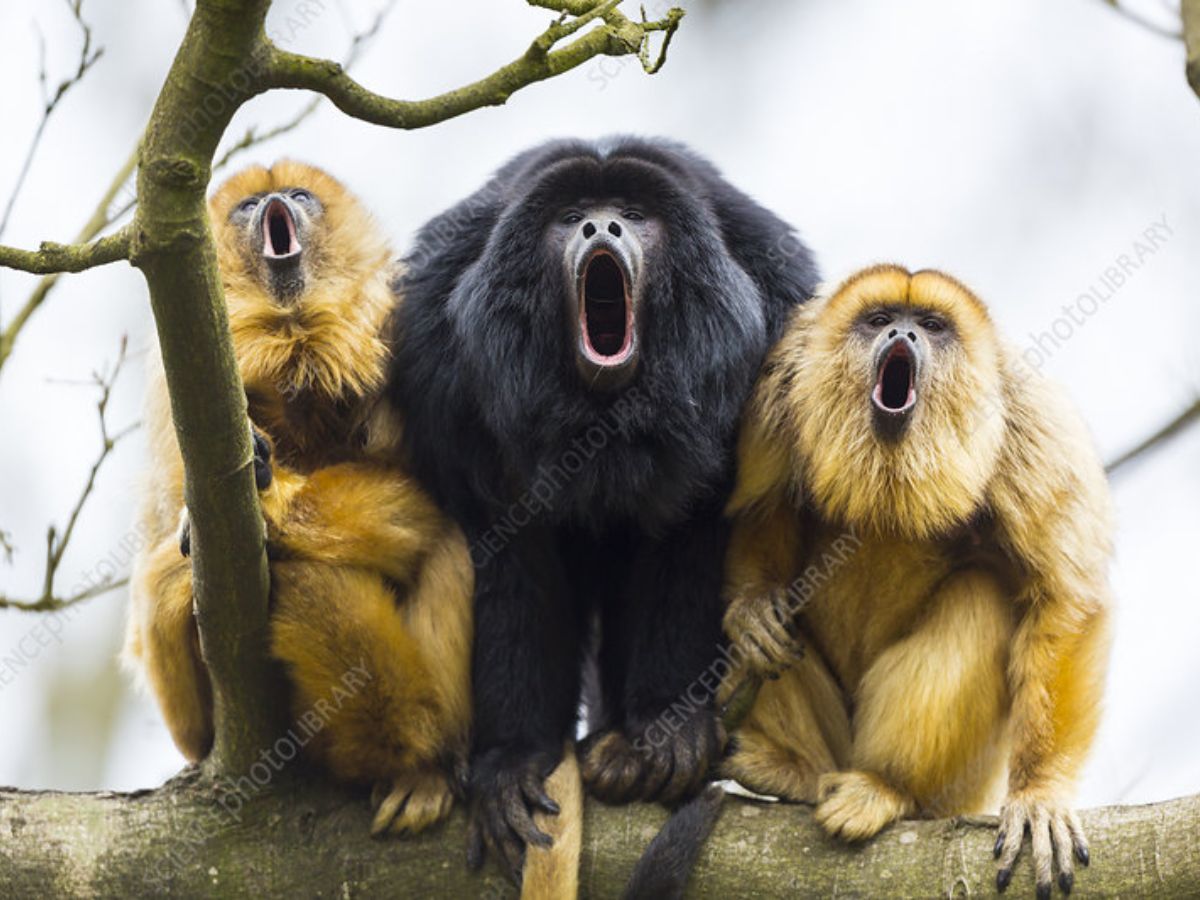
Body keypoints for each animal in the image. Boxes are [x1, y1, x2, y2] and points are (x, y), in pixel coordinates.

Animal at [720, 265, 1113, 898]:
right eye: (880, 319)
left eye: (930, 325)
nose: (901, 335)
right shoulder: (778, 384)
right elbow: (760, 508)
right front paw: (755, 610)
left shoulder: (1030, 423)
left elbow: (1066, 599)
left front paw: (1039, 794)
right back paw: (795, 770)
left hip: (963, 788)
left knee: (981, 597)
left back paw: (888, 787)